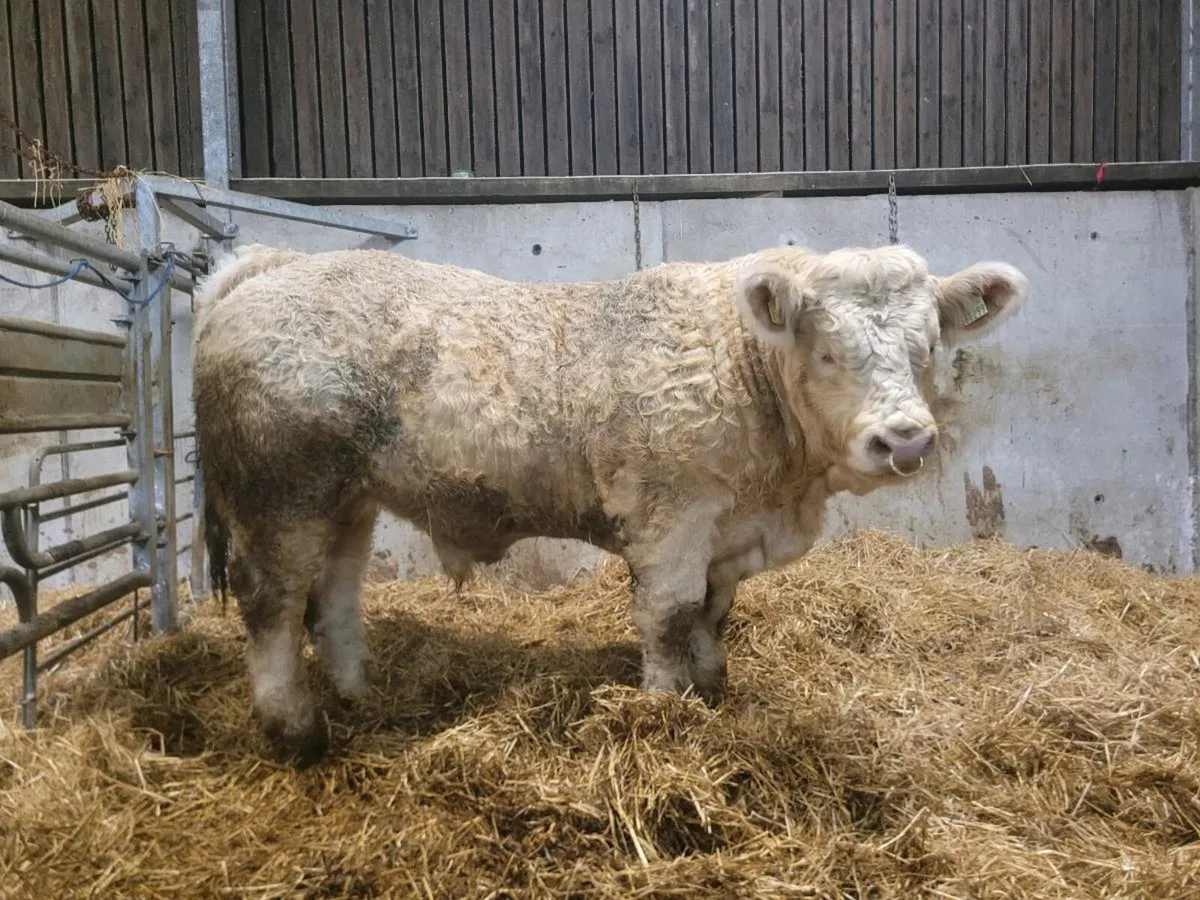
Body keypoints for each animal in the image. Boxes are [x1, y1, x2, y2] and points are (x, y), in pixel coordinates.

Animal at [193, 242, 1028, 765]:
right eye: (827, 352)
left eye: (927, 348)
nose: (905, 441)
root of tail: (274, 265)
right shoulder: (672, 516)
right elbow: (667, 615)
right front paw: (660, 711)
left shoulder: (722, 530)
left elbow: (711, 612)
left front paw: (710, 689)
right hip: (280, 496)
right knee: (270, 602)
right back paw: (295, 730)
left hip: (348, 499)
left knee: (332, 595)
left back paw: (358, 696)